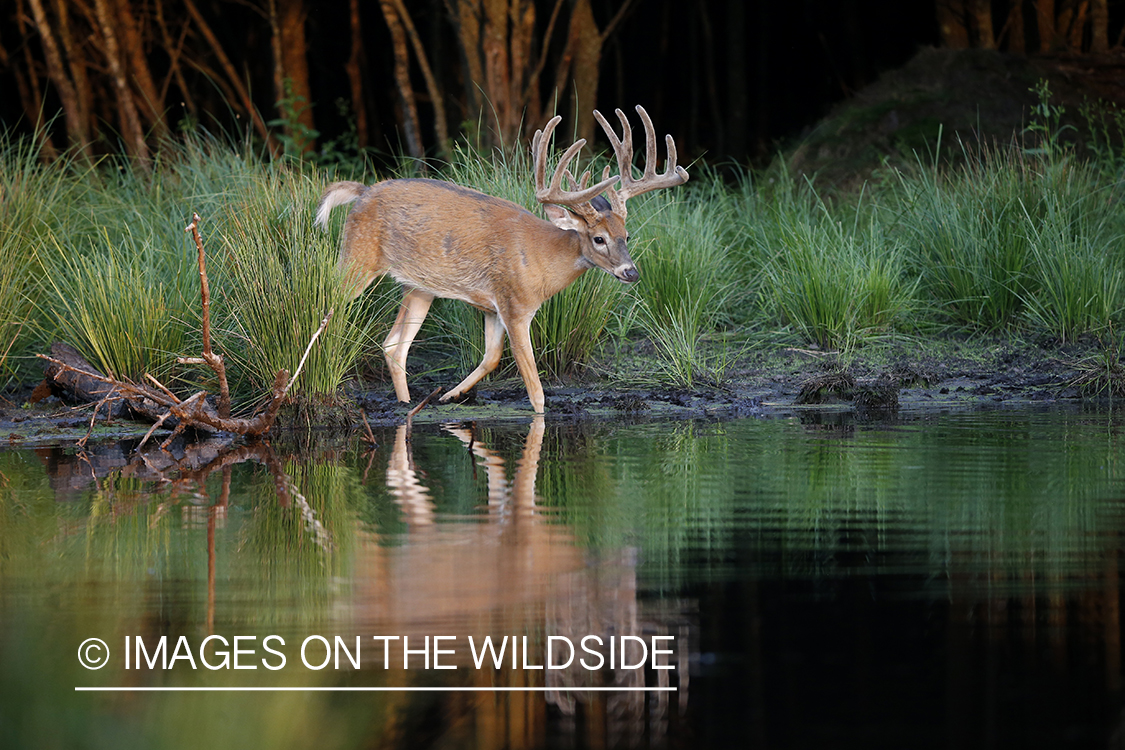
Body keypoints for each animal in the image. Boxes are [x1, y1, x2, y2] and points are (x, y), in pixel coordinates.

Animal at [312, 103, 688, 413]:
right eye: (599, 239)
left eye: (627, 235)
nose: (631, 272)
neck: (542, 259)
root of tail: (362, 192)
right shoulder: (515, 304)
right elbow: (535, 389)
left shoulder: (492, 307)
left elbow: (492, 358)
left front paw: (450, 396)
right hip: (357, 257)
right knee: (328, 307)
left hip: (419, 287)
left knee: (394, 347)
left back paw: (407, 406)